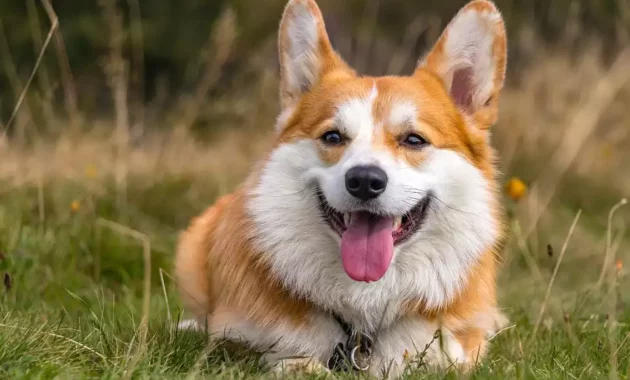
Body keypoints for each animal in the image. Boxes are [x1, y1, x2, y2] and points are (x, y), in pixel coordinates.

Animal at [175, 0, 512, 374]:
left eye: (414, 140)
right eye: (333, 137)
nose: (364, 181)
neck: (362, 319)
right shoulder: (237, 339)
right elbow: (292, 360)